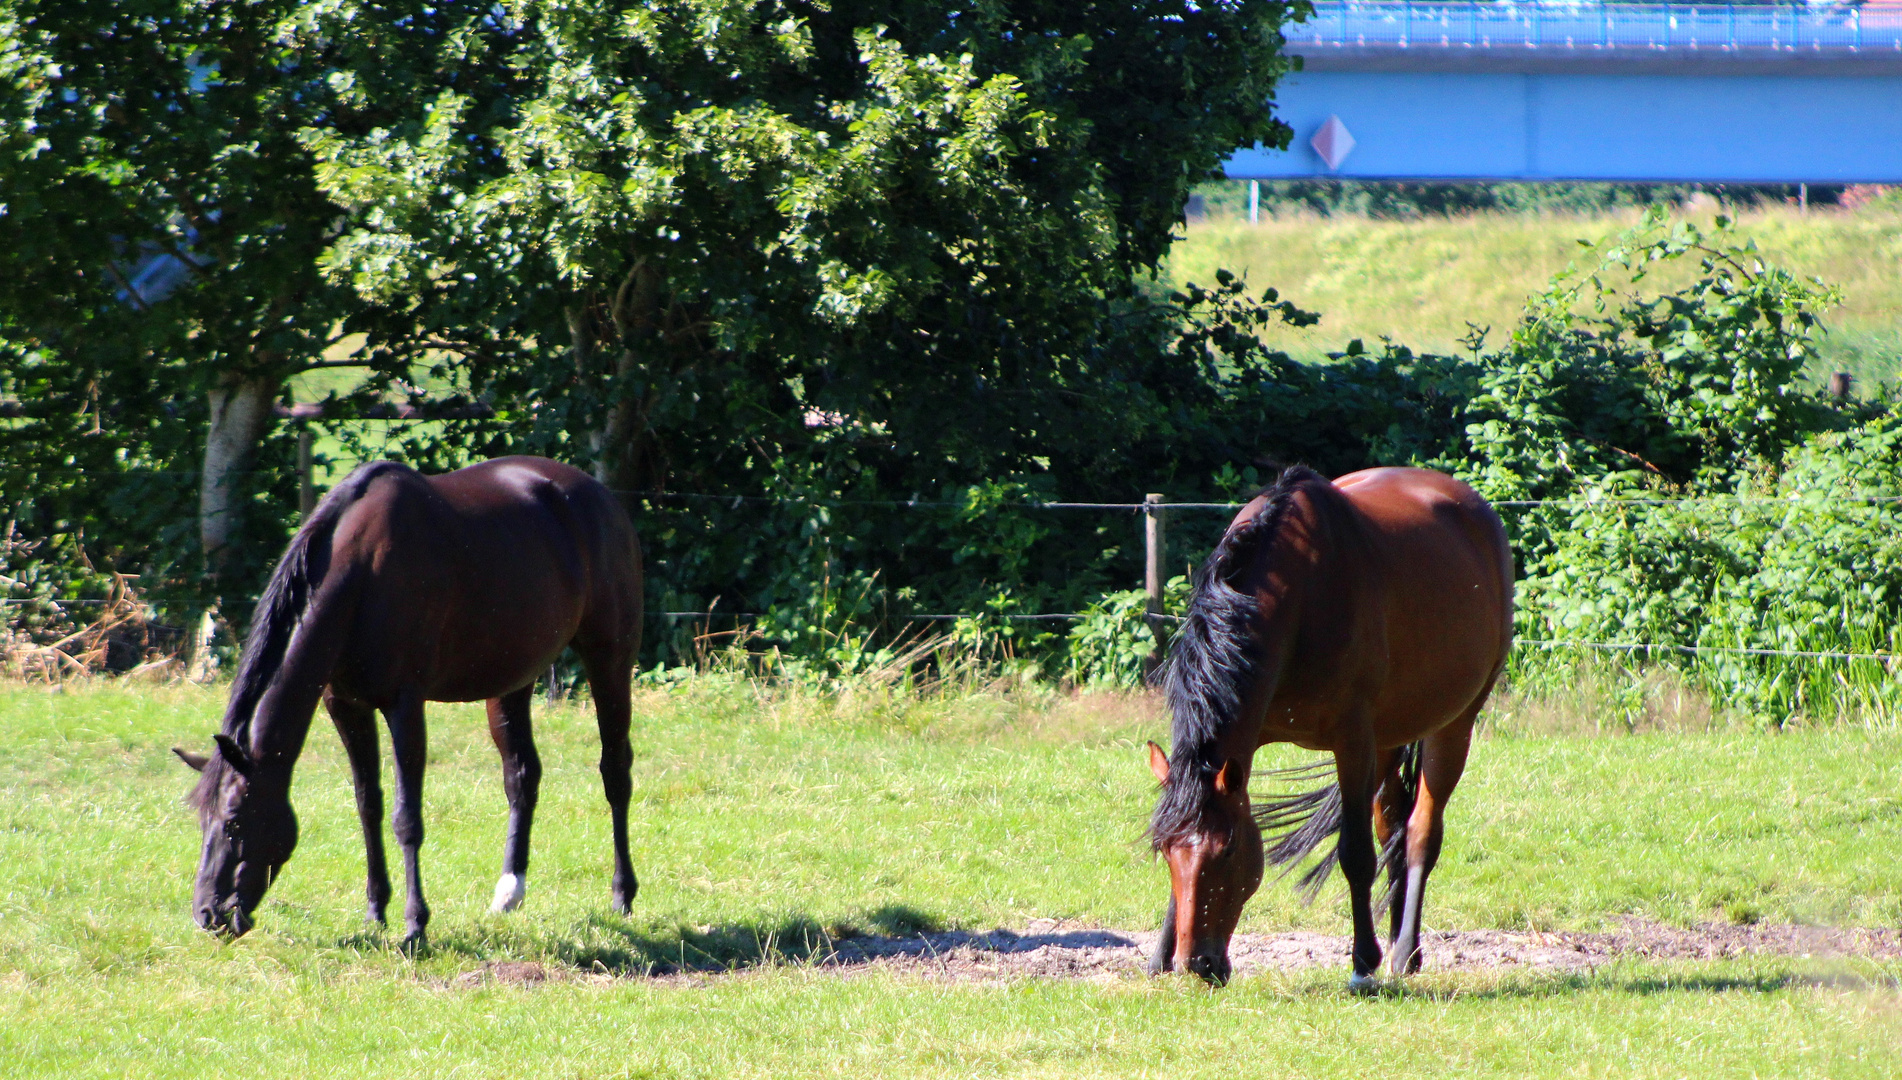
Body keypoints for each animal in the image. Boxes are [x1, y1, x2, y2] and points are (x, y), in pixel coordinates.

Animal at [174, 456, 642, 943]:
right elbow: (368, 805)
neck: (361, 575)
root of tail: (601, 498)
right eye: (201, 820)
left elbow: (406, 818)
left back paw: (622, 894)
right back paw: (509, 892)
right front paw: (375, 911)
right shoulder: (346, 706)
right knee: (521, 776)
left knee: (615, 772)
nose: (208, 914)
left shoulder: (404, 705)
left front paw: (415, 925)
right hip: (512, 680)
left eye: (233, 820)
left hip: (609, 659)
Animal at [1141, 463, 1513, 988]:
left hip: (1453, 725)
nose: (1199, 964)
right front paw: (1159, 957)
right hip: (1391, 735)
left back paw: (1403, 950)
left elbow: (1355, 854)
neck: (1296, 597)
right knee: (1392, 827)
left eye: (1229, 852)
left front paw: (1362, 965)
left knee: (1420, 832)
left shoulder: (1352, 740)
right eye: (1166, 851)